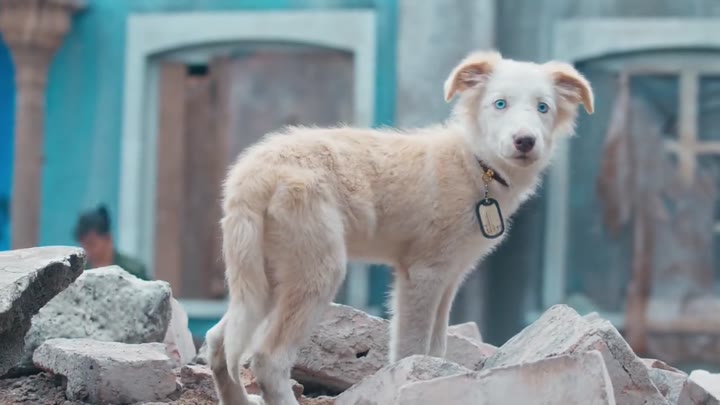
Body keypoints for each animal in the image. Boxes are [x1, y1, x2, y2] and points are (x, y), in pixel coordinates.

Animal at [206, 50, 594, 405]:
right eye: (500, 104)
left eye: (543, 107)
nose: (525, 141)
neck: (475, 162)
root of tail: (252, 174)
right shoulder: (422, 273)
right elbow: (411, 347)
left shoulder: (449, 276)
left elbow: (436, 345)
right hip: (316, 269)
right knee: (268, 359)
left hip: (265, 276)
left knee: (219, 342)